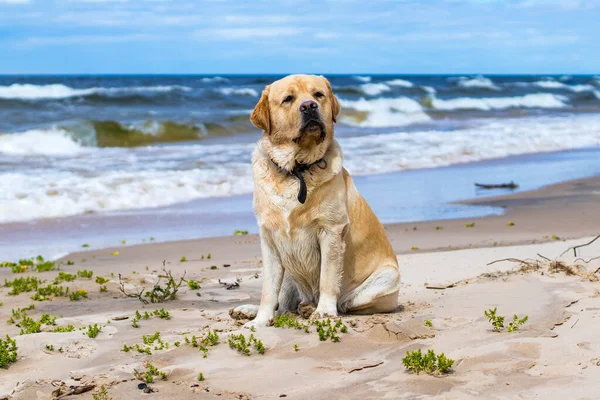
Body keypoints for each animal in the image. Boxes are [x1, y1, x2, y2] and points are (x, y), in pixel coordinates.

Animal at [233, 75, 398, 328]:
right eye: (288, 99)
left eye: (318, 95)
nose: (309, 106)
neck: (296, 170)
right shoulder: (269, 239)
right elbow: (268, 290)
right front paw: (260, 320)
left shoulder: (331, 232)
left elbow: (327, 278)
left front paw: (324, 311)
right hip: (290, 270)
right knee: (283, 305)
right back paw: (253, 311)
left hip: (386, 279)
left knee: (346, 302)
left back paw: (312, 308)